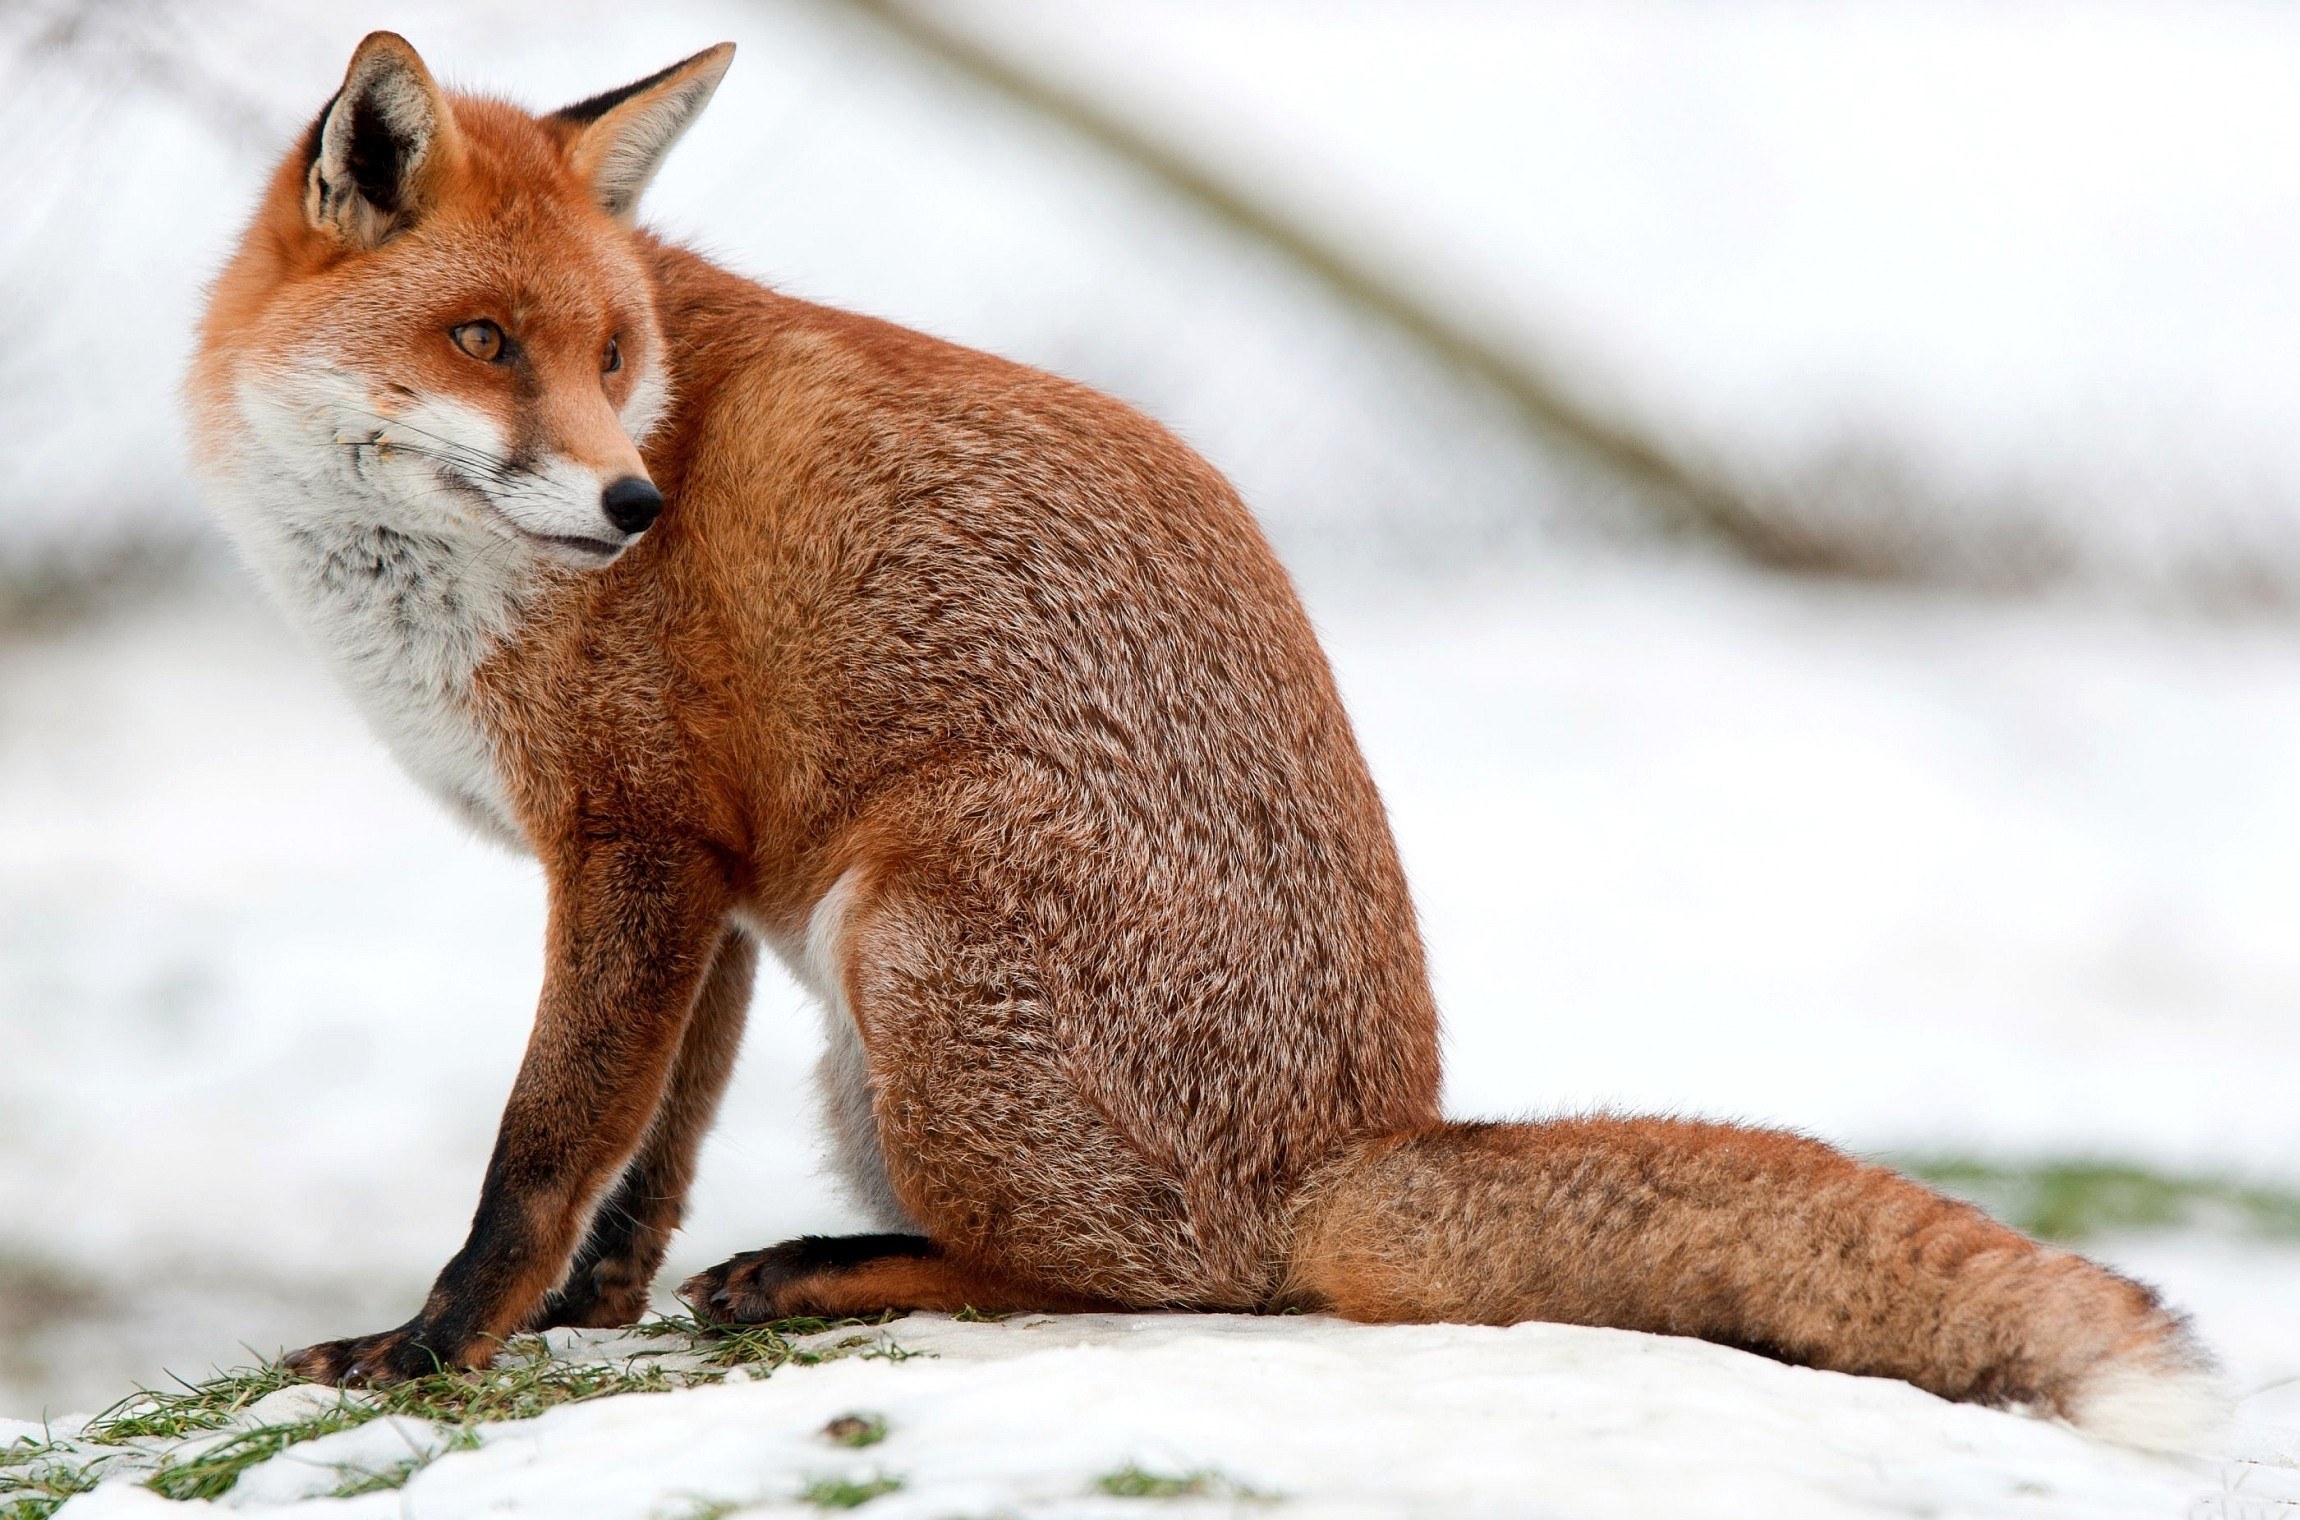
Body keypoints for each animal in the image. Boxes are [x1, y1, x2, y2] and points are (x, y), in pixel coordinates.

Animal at [185, 32, 2221, 1452]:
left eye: (612, 357)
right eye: (484, 339)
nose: (630, 506)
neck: (400, 593)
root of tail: (1352, 1144)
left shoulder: (638, 841)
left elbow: (544, 1143)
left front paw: (432, 1347)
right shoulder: (701, 881)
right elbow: (643, 1158)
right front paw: (577, 1325)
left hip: (910, 937)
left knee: (1168, 1285)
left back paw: (839, 1274)